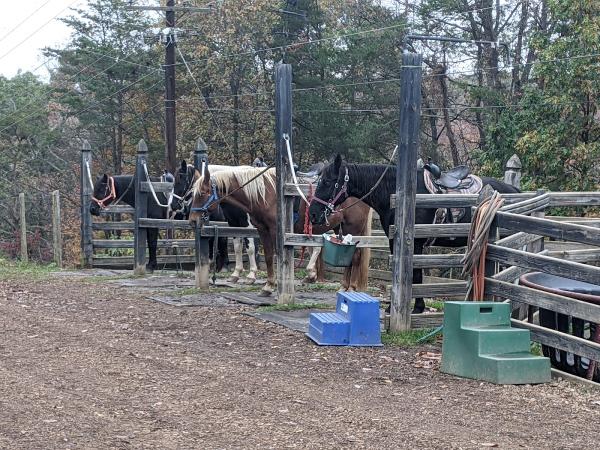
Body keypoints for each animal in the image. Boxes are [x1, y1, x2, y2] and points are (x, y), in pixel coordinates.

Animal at [308, 155, 516, 312]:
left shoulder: (414, 243)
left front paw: (416, 308)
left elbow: (415, 276)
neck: (395, 194)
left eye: (327, 181)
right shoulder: (396, 242)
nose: (313, 214)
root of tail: (514, 190)